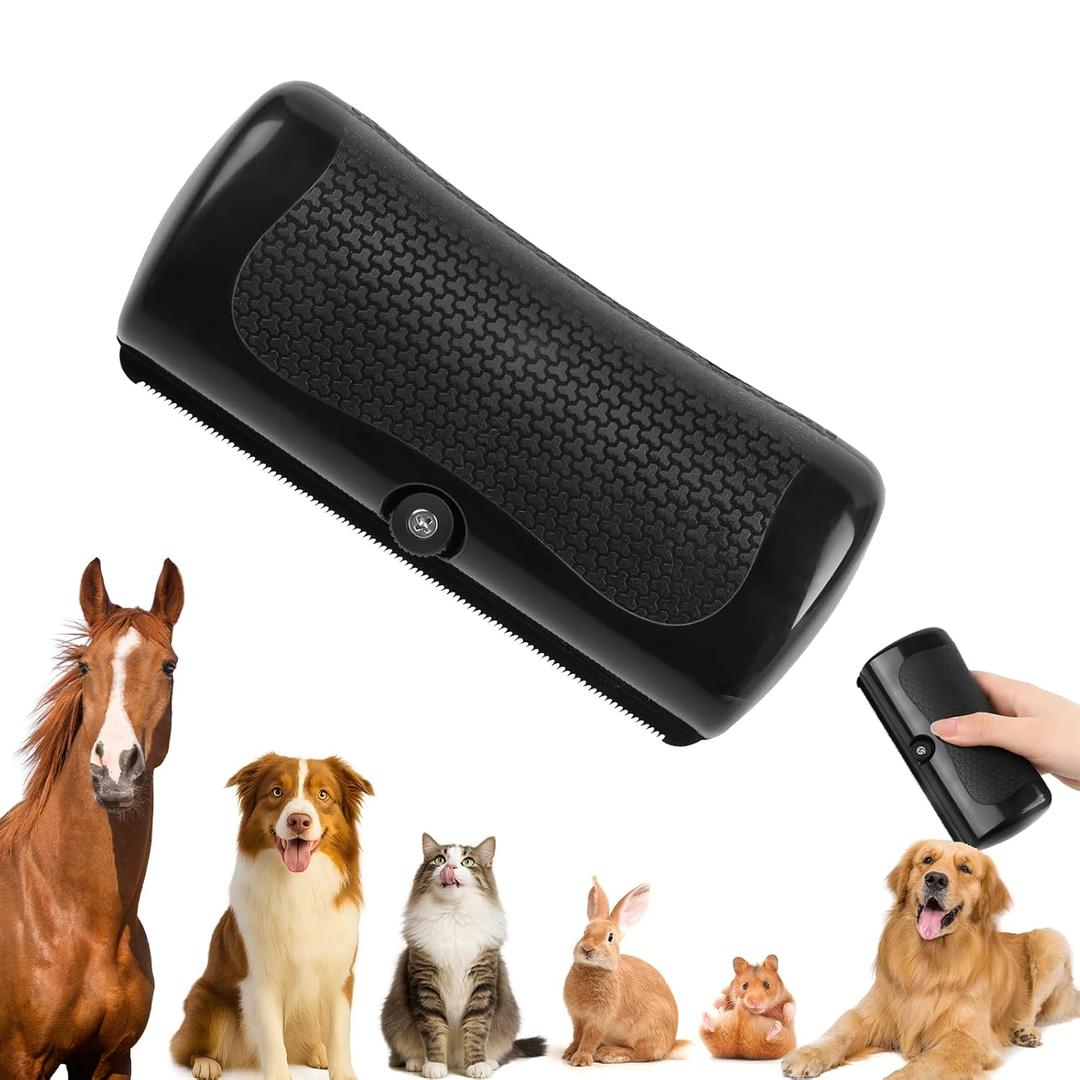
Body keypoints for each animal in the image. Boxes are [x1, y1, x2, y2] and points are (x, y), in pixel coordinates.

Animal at [562, 878, 689, 1066]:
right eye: (584, 931)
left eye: (610, 937)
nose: (587, 949)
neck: (593, 969)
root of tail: (670, 1044)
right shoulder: (578, 1018)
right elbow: (577, 1036)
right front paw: (569, 1053)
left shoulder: (600, 1019)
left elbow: (589, 1039)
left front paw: (580, 1060)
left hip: (648, 1027)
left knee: (642, 1053)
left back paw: (609, 1054)